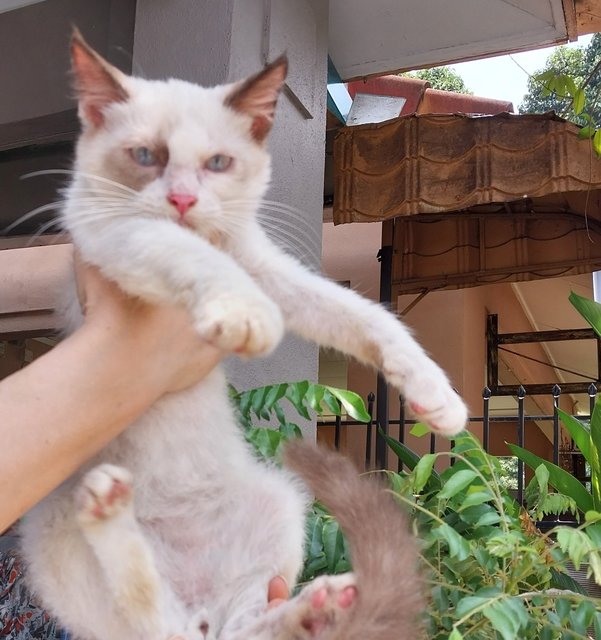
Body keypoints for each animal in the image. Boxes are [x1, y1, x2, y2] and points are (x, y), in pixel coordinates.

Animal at [18, 31, 466, 640]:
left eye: (218, 163)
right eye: (145, 156)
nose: (182, 200)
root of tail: (198, 607)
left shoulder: (269, 270)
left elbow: (364, 314)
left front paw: (435, 397)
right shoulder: (114, 233)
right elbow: (180, 248)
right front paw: (244, 312)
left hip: (279, 500)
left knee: (240, 627)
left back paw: (315, 607)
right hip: (52, 528)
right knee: (150, 619)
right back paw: (108, 508)